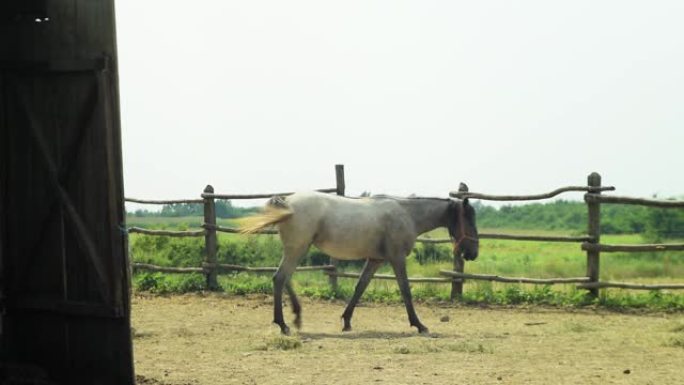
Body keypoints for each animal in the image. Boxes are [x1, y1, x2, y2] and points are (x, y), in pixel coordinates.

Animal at [240, 190, 480, 334]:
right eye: (468, 219)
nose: (473, 253)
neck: (407, 214)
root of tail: (288, 201)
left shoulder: (375, 260)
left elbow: (360, 287)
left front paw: (346, 321)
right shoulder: (396, 258)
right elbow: (405, 290)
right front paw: (419, 325)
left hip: (298, 249)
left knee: (284, 278)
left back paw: (296, 317)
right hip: (297, 248)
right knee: (280, 278)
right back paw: (284, 325)